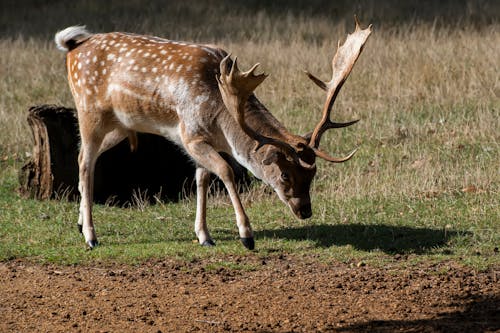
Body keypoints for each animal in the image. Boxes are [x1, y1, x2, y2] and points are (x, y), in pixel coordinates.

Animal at [54, 17, 372, 246]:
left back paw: (80, 223)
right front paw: (246, 235)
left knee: (86, 158)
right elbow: (226, 172)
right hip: (89, 110)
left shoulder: (206, 141)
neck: (222, 118)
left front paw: (204, 236)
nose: (305, 210)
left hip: (121, 125)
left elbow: (202, 179)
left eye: (313, 173)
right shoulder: (190, 135)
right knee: (85, 161)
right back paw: (91, 236)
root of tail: (72, 48)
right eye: (284, 175)